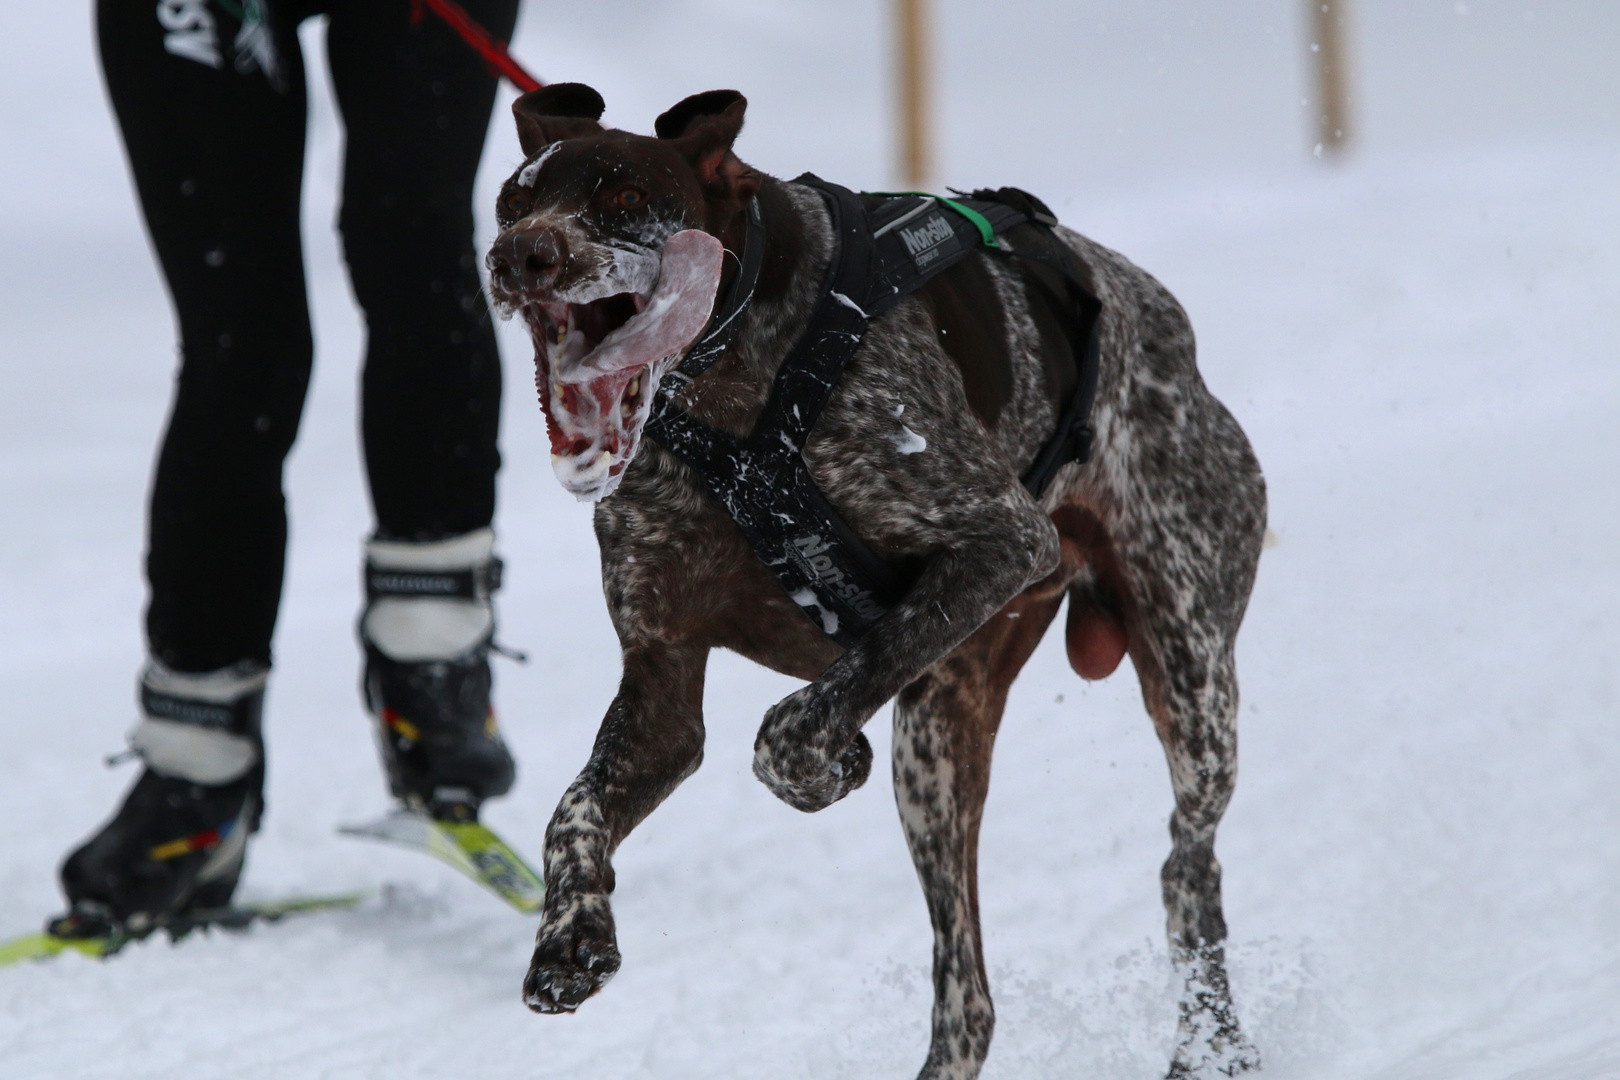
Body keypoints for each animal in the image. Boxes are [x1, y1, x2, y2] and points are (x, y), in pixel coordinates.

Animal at [486, 84, 1270, 1080]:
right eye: (512, 201)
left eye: (626, 197)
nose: (522, 255)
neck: (732, 395)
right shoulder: (662, 675)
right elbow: (574, 809)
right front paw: (569, 938)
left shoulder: (1001, 541)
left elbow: (786, 734)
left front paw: (826, 761)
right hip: (937, 747)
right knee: (969, 1001)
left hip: (1188, 680)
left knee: (1187, 864)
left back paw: (1212, 1039)